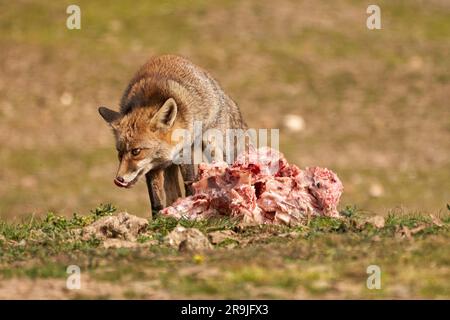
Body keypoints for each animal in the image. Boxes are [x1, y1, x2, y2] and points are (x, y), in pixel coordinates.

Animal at [99, 54, 246, 214]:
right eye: (119, 153)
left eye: (136, 151)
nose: (118, 179)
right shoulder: (153, 168)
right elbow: (156, 200)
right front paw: (158, 217)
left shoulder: (184, 153)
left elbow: (189, 183)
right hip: (171, 168)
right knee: (173, 193)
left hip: (210, 143)